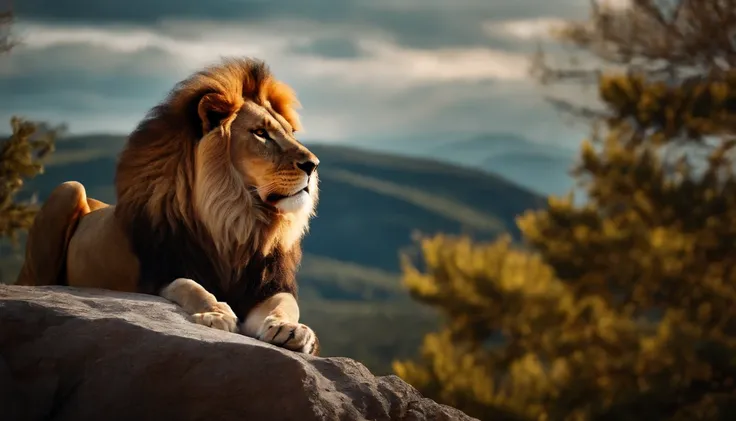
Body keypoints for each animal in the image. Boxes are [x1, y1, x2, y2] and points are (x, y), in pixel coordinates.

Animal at [16, 56, 322, 354]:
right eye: (260, 133)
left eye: (290, 133)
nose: (313, 165)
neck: (235, 219)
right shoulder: (159, 273)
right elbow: (191, 286)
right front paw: (216, 313)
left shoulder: (266, 286)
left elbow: (285, 305)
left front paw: (291, 330)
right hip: (68, 190)